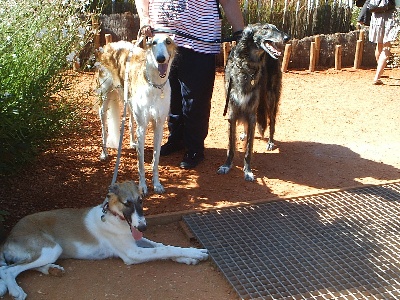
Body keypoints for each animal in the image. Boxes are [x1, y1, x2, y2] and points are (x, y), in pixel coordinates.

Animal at [0, 180, 209, 300]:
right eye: (127, 203)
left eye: (141, 200)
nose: (143, 227)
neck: (115, 218)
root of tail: (9, 236)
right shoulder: (132, 253)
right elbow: (162, 250)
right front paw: (194, 253)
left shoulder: (136, 242)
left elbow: (163, 246)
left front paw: (187, 257)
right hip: (50, 248)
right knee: (9, 270)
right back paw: (16, 290)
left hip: (51, 251)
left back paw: (53, 269)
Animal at [95, 34, 177, 196]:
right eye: (153, 43)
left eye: (168, 41)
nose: (160, 59)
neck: (155, 85)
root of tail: (109, 45)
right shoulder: (143, 127)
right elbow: (140, 163)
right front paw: (143, 186)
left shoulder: (159, 125)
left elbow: (156, 159)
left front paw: (157, 184)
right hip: (104, 100)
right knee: (103, 129)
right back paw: (104, 152)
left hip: (129, 101)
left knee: (131, 121)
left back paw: (133, 143)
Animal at [217, 22, 290, 180]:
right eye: (266, 29)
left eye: (276, 28)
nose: (287, 37)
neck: (247, 68)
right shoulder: (232, 113)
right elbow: (231, 146)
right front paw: (227, 165)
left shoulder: (251, 114)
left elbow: (248, 149)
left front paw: (248, 171)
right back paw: (244, 134)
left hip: (270, 99)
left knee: (272, 122)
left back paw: (270, 142)